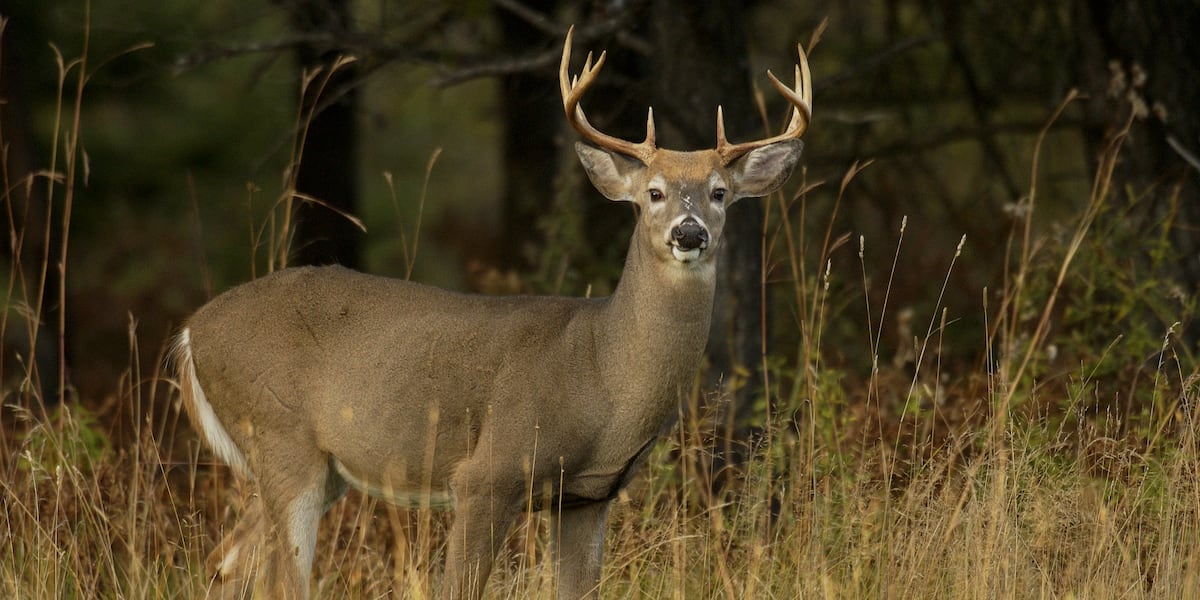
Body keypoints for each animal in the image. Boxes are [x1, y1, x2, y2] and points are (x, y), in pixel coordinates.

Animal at [172, 26, 812, 600]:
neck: (603, 373)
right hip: (280, 436)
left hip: (316, 468)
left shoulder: (589, 494)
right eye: (653, 192)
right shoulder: (488, 474)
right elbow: (456, 586)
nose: (689, 232)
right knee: (278, 578)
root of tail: (190, 331)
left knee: (226, 564)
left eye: (719, 192)